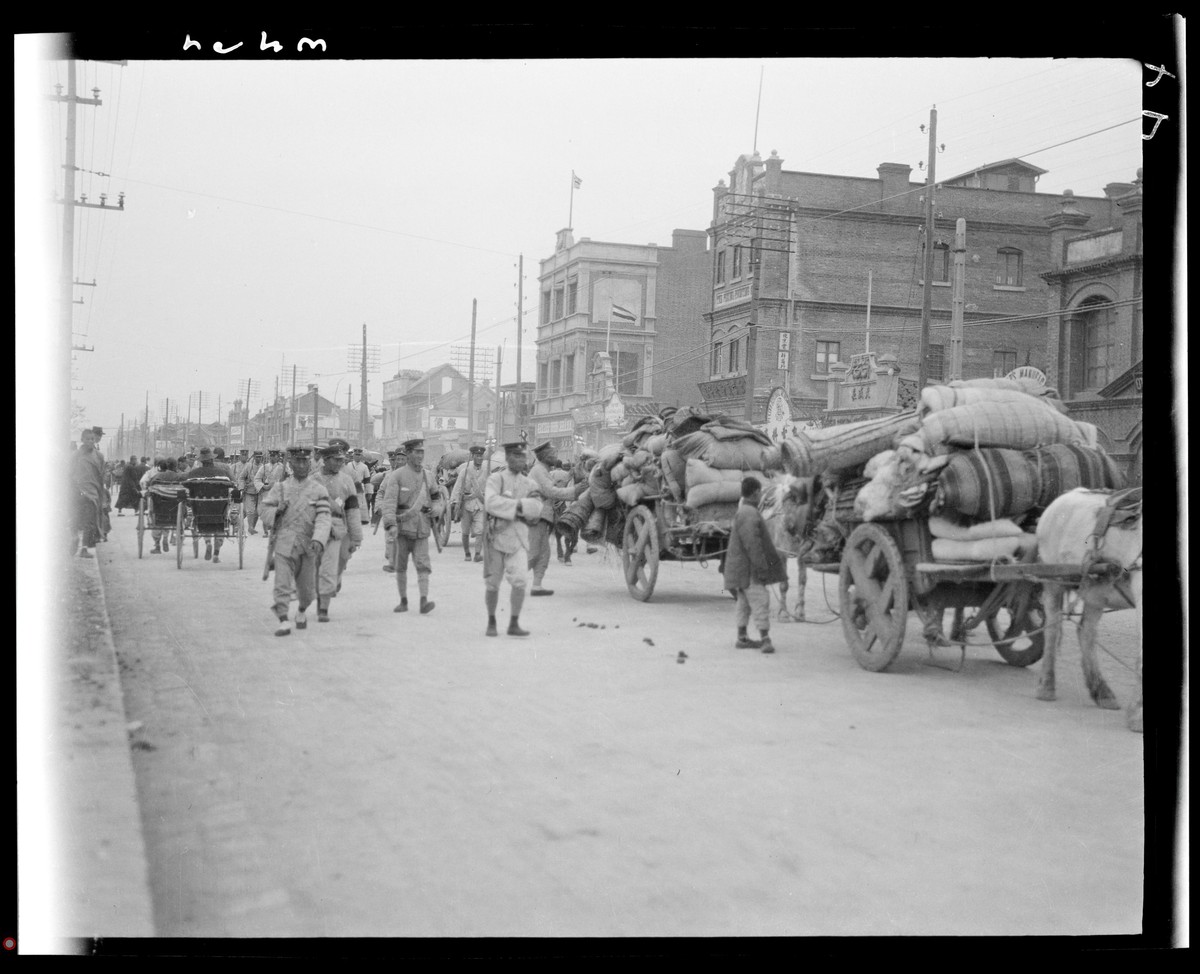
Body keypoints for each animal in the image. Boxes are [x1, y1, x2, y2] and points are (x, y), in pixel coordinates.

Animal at [1032, 487, 1142, 729]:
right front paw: (1138, 716)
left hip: (1096, 591)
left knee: (1086, 632)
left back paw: (1102, 692)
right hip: (1053, 580)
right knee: (1052, 629)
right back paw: (1046, 686)